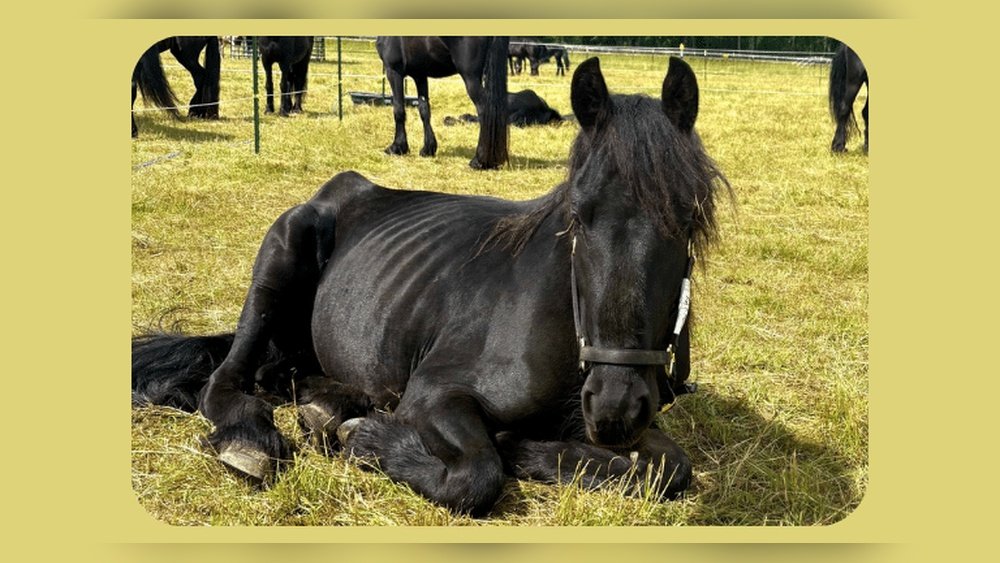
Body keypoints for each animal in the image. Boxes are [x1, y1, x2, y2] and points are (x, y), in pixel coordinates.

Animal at [132, 56, 728, 517]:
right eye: (578, 218)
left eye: (689, 220)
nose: (614, 407)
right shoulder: (436, 392)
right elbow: (477, 475)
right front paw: (372, 439)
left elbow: (672, 469)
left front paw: (529, 450)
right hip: (278, 263)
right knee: (228, 379)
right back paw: (255, 438)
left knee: (284, 372)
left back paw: (329, 405)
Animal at [376, 36, 509, 170]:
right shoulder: (420, 75)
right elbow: (424, 110)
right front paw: (428, 149)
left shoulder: (394, 71)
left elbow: (399, 110)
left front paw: (397, 147)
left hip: (471, 78)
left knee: (484, 111)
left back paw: (478, 161)